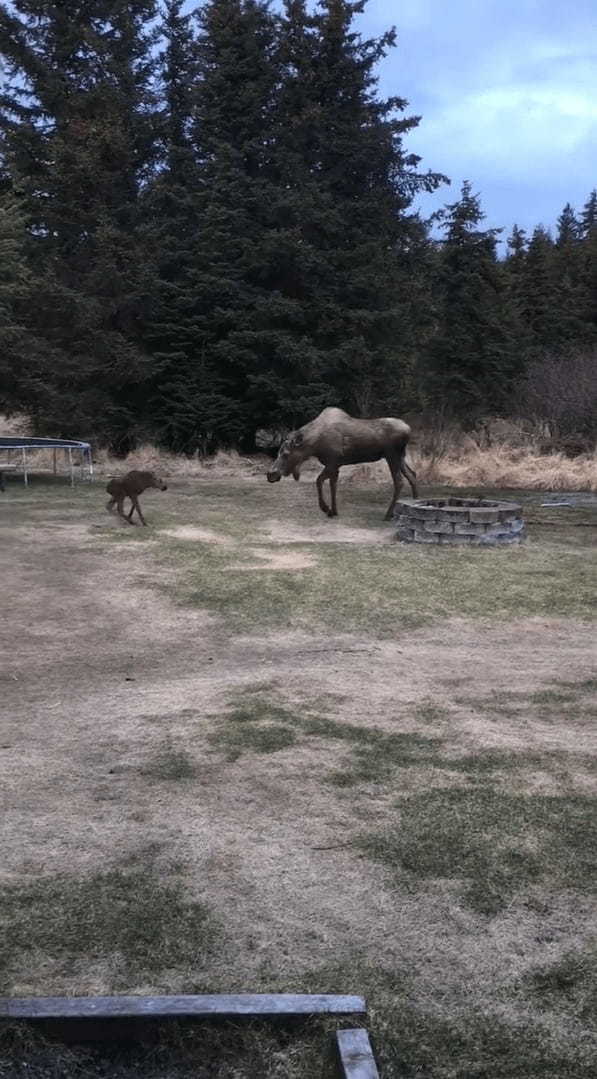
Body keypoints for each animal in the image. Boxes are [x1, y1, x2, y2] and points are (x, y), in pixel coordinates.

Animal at [265, 407, 414, 517]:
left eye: (286, 454)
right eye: (278, 452)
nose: (270, 474)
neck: (314, 446)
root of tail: (408, 429)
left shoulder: (332, 462)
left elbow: (322, 482)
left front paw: (327, 509)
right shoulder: (334, 465)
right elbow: (328, 483)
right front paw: (331, 510)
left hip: (392, 455)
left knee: (399, 481)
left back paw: (388, 514)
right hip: (401, 456)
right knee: (412, 475)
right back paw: (414, 499)